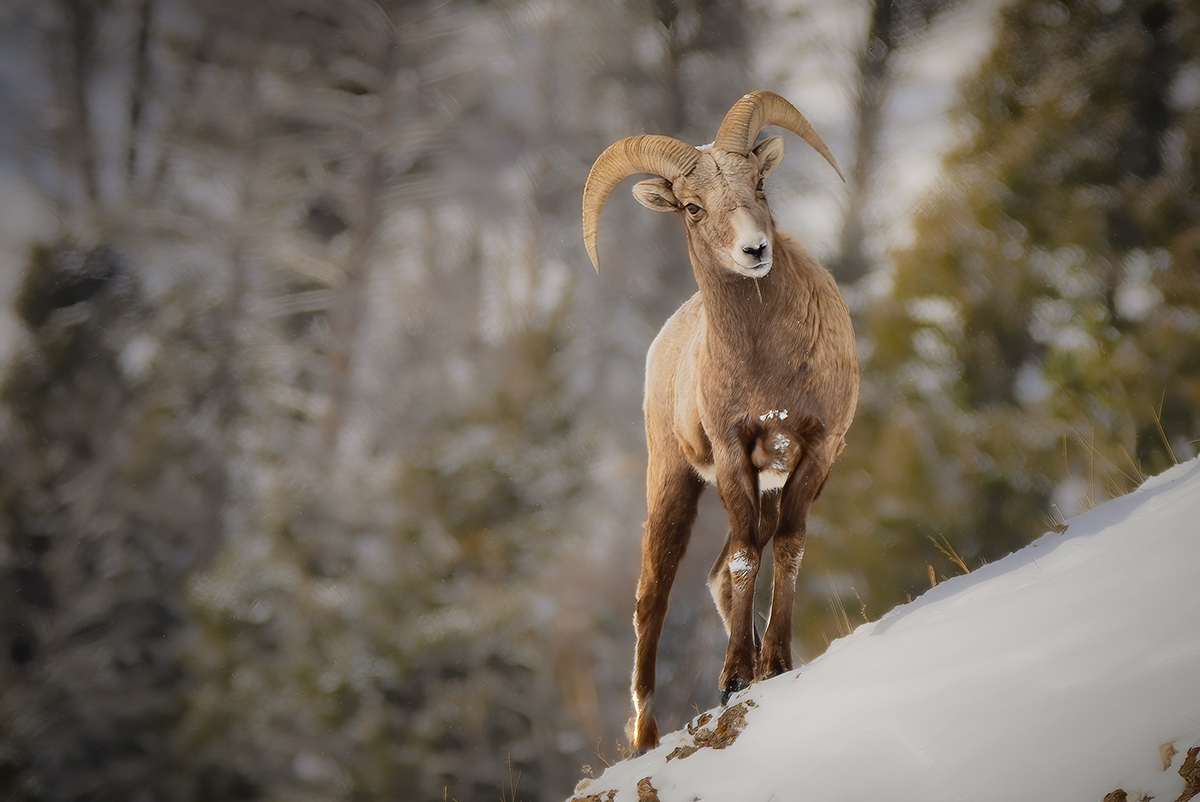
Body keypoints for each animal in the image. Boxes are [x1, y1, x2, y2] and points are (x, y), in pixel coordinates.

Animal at [583, 92, 859, 753]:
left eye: (759, 184)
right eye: (692, 206)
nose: (754, 251)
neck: (767, 367)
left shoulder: (814, 452)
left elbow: (784, 548)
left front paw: (772, 665)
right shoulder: (735, 454)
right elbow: (744, 559)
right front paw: (734, 677)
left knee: (720, 569)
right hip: (673, 482)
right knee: (654, 597)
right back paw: (645, 737)